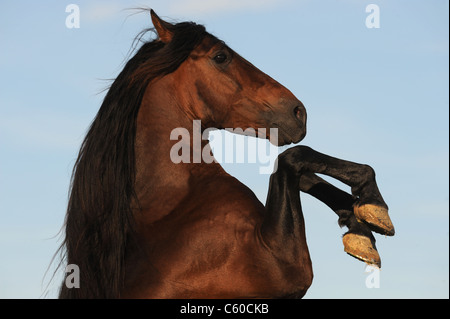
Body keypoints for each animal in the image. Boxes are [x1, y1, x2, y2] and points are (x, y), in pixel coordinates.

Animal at [59, 10, 394, 300]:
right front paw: (373, 204)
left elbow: (304, 175)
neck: (171, 207)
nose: (299, 113)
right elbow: (293, 159)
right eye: (221, 56)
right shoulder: (285, 267)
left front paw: (360, 225)